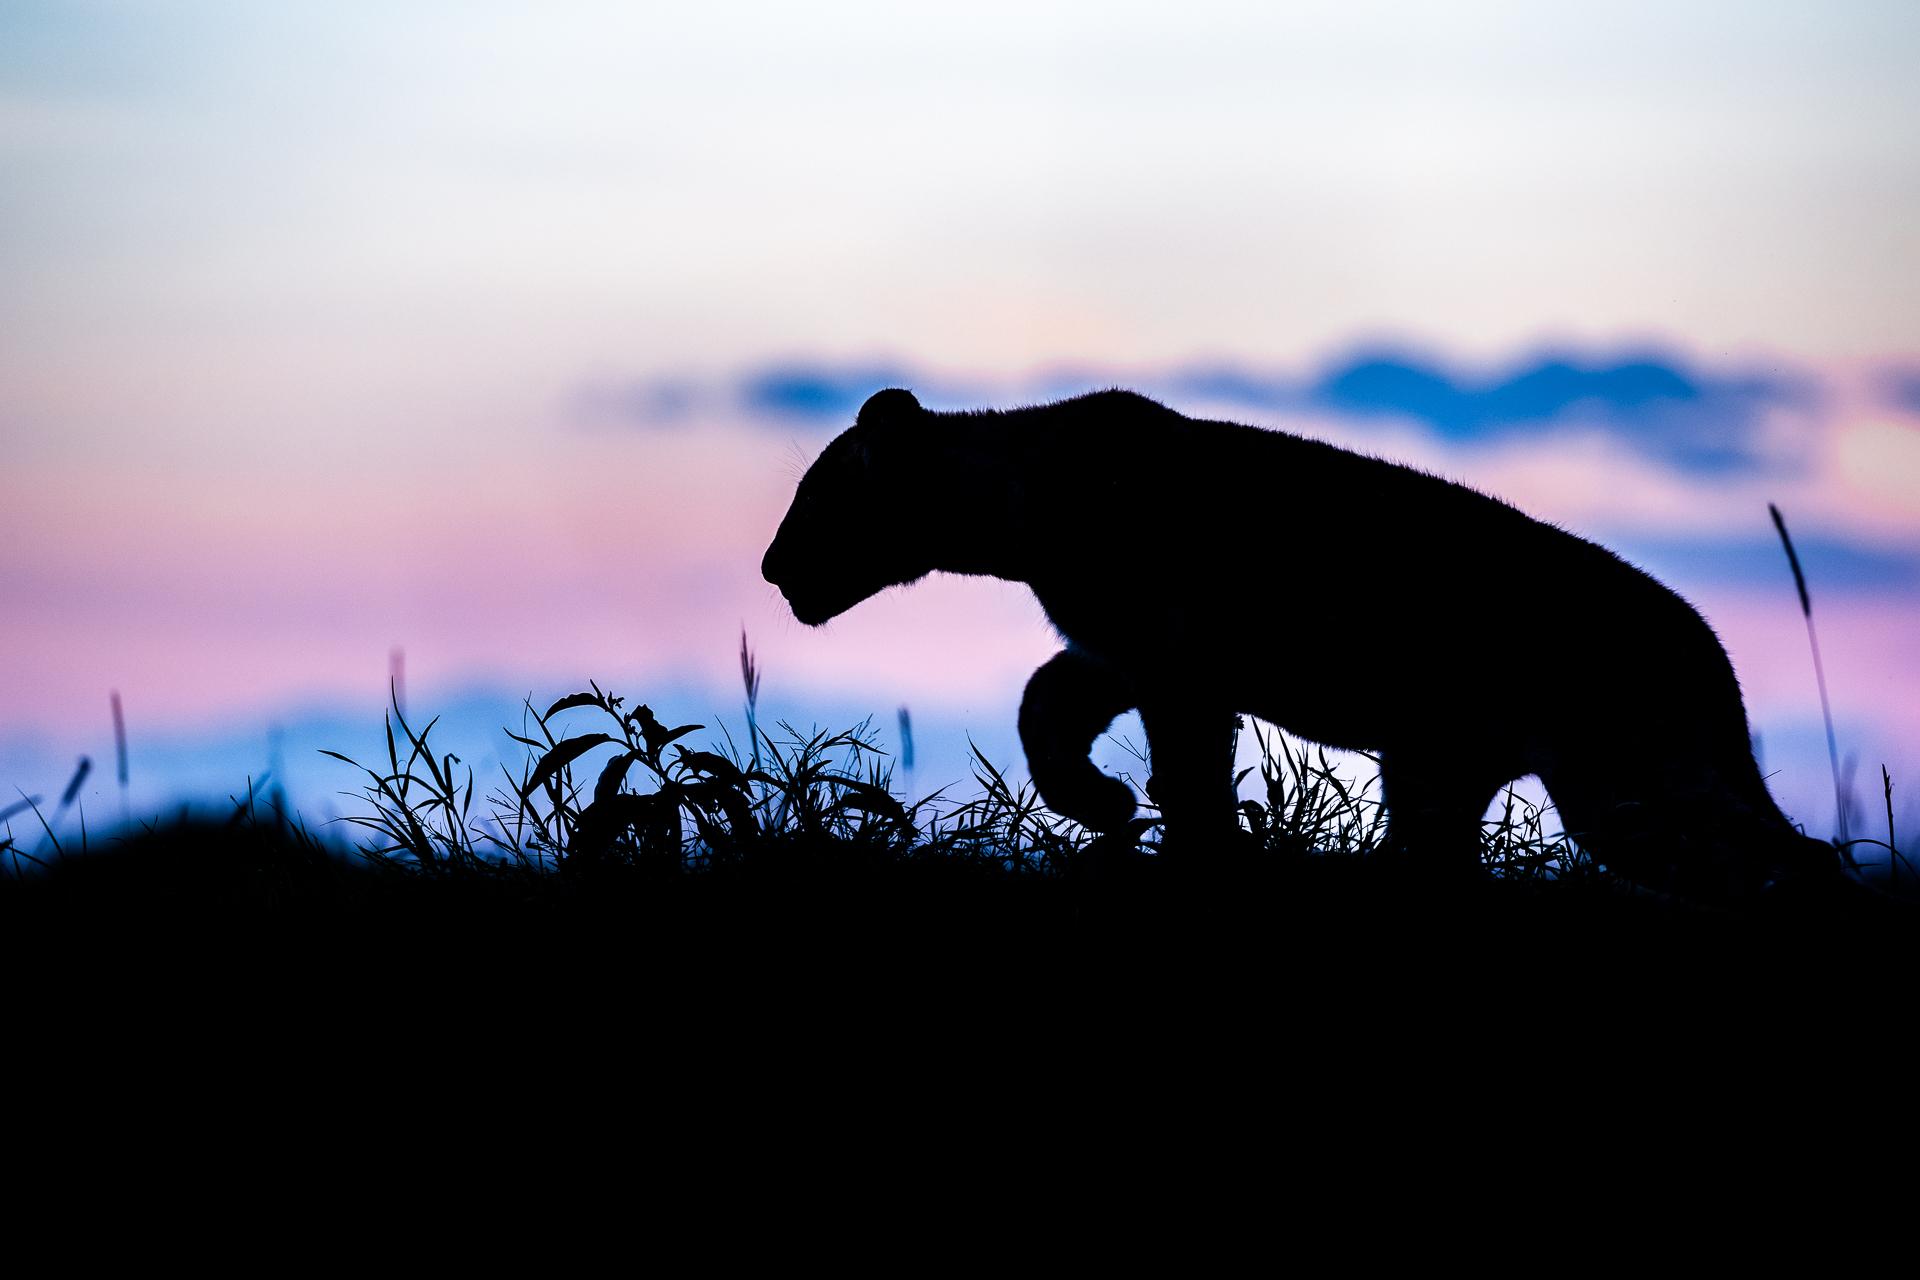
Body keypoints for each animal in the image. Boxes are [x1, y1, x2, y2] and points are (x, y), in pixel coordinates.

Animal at [756, 385, 1835, 898]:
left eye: (813, 498)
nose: (769, 568)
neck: (1019, 509)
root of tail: (1710, 651)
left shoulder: (1177, 655)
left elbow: (1190, 768)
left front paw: (1186, 845)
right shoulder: (1115, 648)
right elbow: (1045, 706)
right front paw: (1101, 802)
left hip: (1622, 777)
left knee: (1774, 854)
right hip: (1454, 765)